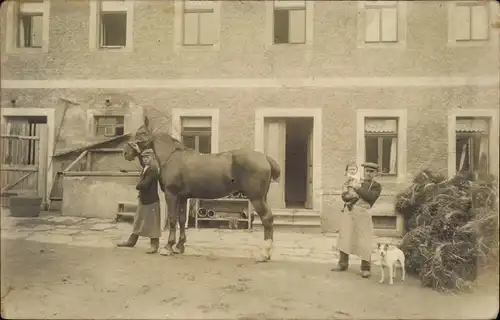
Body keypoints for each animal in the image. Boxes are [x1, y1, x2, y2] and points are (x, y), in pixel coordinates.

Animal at [123, 116, 282, 262]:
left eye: (141, 133)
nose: (126, 152)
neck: (172, 157)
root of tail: (265, 157)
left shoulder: (171, 195)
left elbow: (173, 219)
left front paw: (168, 247)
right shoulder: (183, 197)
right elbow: (182, 220)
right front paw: (179, 246)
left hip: (256, 199)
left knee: (267, 219)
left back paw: (264, 253)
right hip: (262, 198)